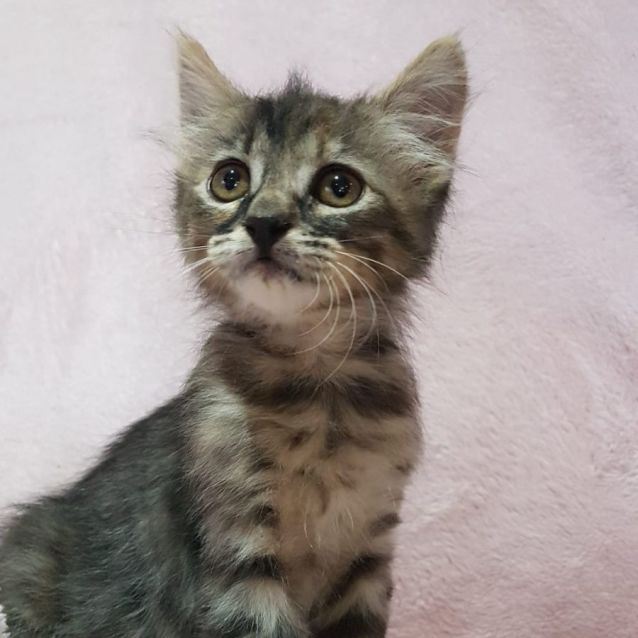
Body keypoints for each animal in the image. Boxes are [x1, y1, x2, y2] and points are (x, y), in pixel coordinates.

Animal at [0, 31, 470, 638]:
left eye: (339, 187)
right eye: (230, 180)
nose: (264, 223)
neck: (317, 387)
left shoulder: (368, 546)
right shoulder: (236, 555)